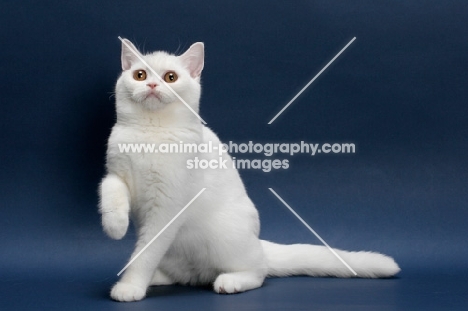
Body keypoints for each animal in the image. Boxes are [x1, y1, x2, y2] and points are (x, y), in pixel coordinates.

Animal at [98, 39, 398, 302]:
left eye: (170, 77)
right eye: (139, 74)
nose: (151, 84)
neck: (150, 132)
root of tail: (259, 244)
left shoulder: (167, 206)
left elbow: (145, 253)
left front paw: (130, 286)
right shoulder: (116, 173)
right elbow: (110, 190)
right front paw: (116, 226)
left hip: (226, 237)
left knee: (258, 271)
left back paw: (230, 281)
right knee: (184, 274)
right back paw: (158, 277)